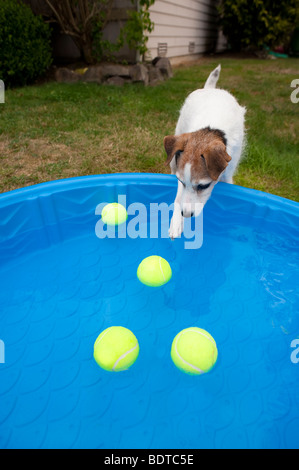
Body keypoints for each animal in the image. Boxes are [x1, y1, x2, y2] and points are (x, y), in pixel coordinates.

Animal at [164, 64, 246, 241]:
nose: (186, 214)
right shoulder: (180, 175)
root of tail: (211, 89)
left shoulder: (228, 173)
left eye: (204, 185)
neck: (209, 132)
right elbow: (178, 197)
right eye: (181, 182)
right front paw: (176, 222)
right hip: (174, 154)